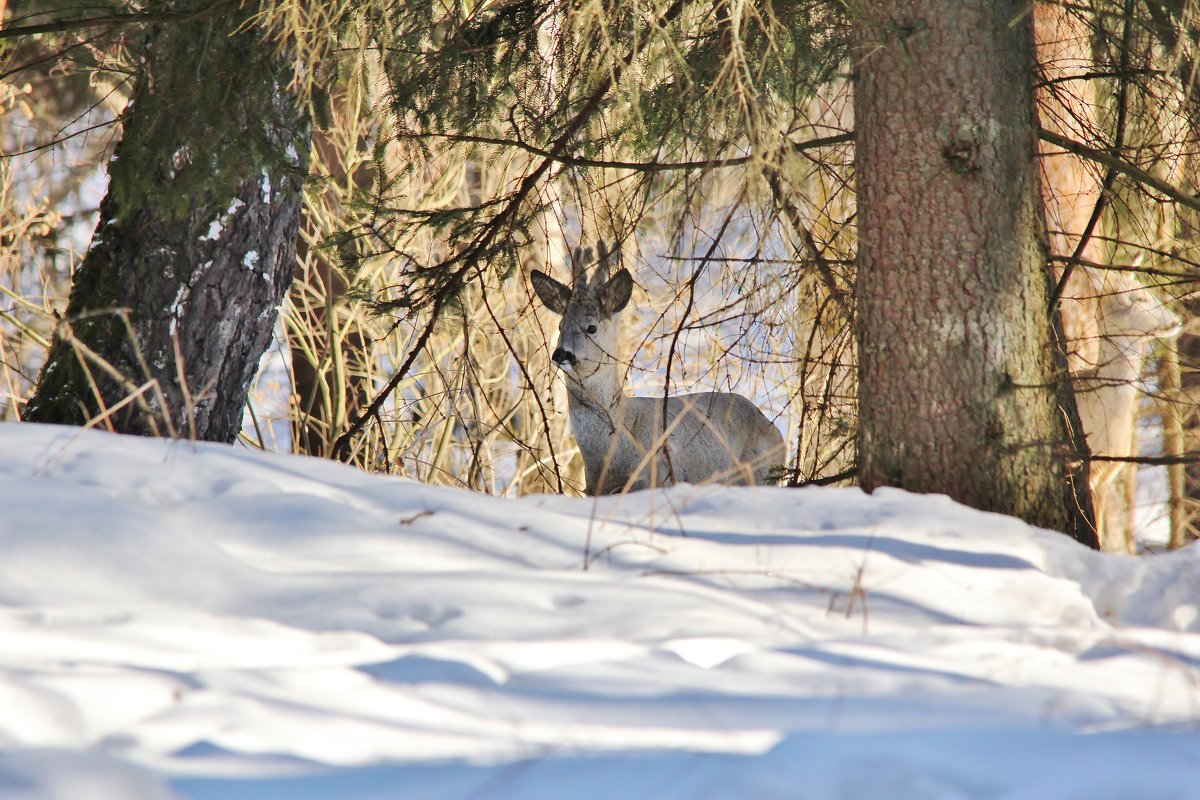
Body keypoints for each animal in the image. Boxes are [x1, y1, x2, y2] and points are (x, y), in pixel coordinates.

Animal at [530, 241, 782, 496]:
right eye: (560, 326)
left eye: (591, 328)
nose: (561, 353)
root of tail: (775, 430)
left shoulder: (657, 479)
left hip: (758, 474)